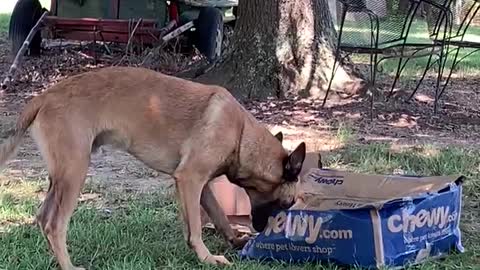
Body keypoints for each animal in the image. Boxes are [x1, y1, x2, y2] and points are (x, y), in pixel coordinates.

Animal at [0, 66, 308, 270]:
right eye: (287, 202)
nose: (263, 231)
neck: (241, 134)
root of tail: (44, 96)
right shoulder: (190, 179)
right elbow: (196, 228)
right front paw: (207, 258)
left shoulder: (201, 185)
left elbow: (218, 216)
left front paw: (235, 240)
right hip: (75, 172)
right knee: (55, 225)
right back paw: (69, 266)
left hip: (61, 177)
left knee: (43, 218)